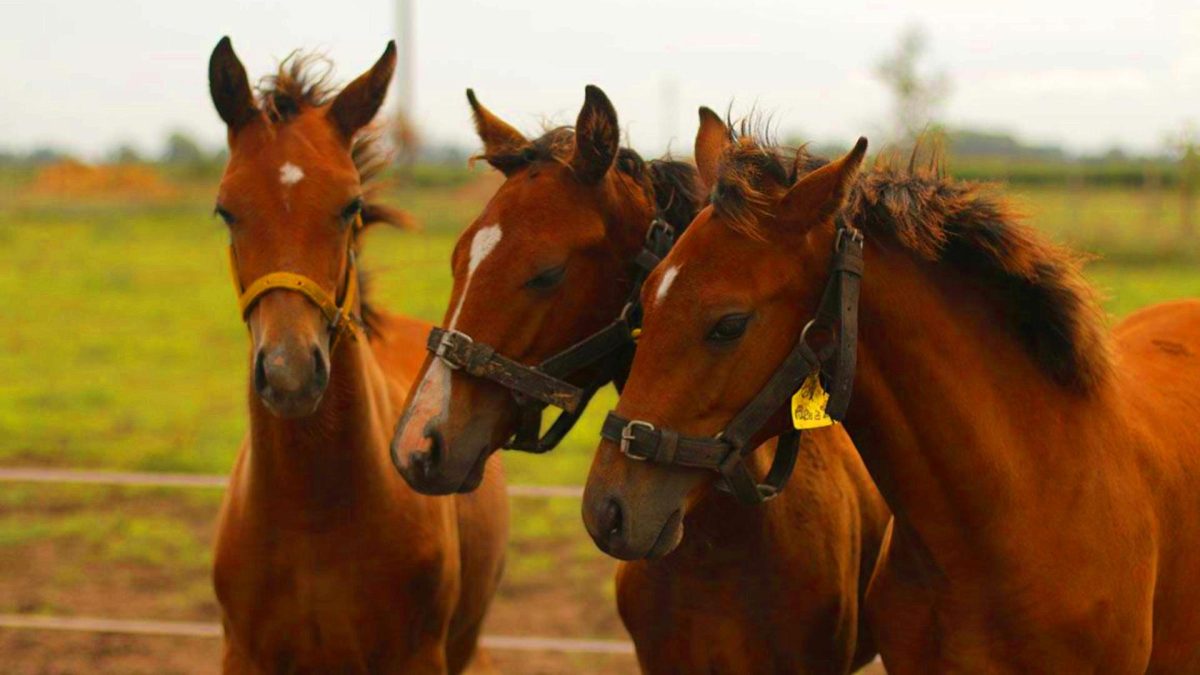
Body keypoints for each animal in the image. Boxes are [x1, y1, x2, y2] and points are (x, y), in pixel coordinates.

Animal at [207, 38, 508, 674]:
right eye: (225, 209)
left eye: (350, 206)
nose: (290, 374)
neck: (313, 515)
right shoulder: (242, 653)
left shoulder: (419, 655)